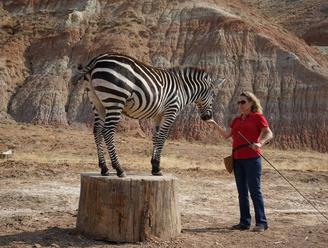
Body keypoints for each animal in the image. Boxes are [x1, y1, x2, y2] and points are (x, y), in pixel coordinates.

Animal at [73, 53, 223, 177]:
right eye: (215, 95)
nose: (207, 117)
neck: (183, 89)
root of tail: (97, 59)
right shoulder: (171, 111)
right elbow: (162, 137)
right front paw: (157, 167)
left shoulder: (158, 114)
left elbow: (156, 137)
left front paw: (153, 166)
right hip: (115, 99)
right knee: (107, 131)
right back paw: (119, 169)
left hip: (97, 102)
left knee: (97, 131)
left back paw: (104, 169)